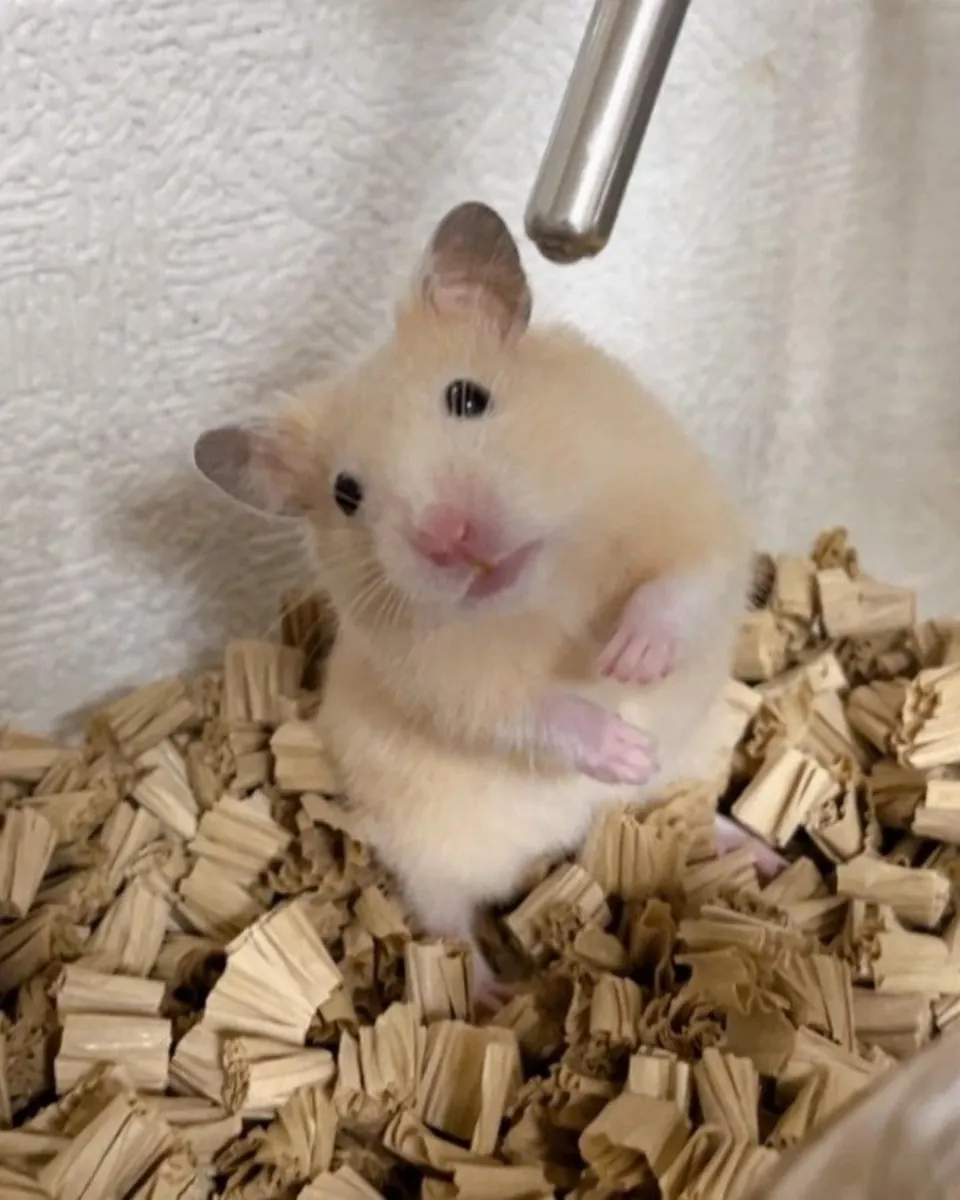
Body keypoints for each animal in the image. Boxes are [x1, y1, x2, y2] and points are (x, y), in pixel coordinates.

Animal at [194, 200, 777, 1005]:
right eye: (347, 494)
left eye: (468, 397)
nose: (449, 536)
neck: (541, 587)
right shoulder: (447, 684)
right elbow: (532, 712)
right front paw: (621, 746)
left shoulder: (692, 515)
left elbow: (683, 584)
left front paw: (631, 661)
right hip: (428, 854)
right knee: (447, 921)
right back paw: (494, 992)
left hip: (696, 757)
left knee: (692, 812)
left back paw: (753, 851)